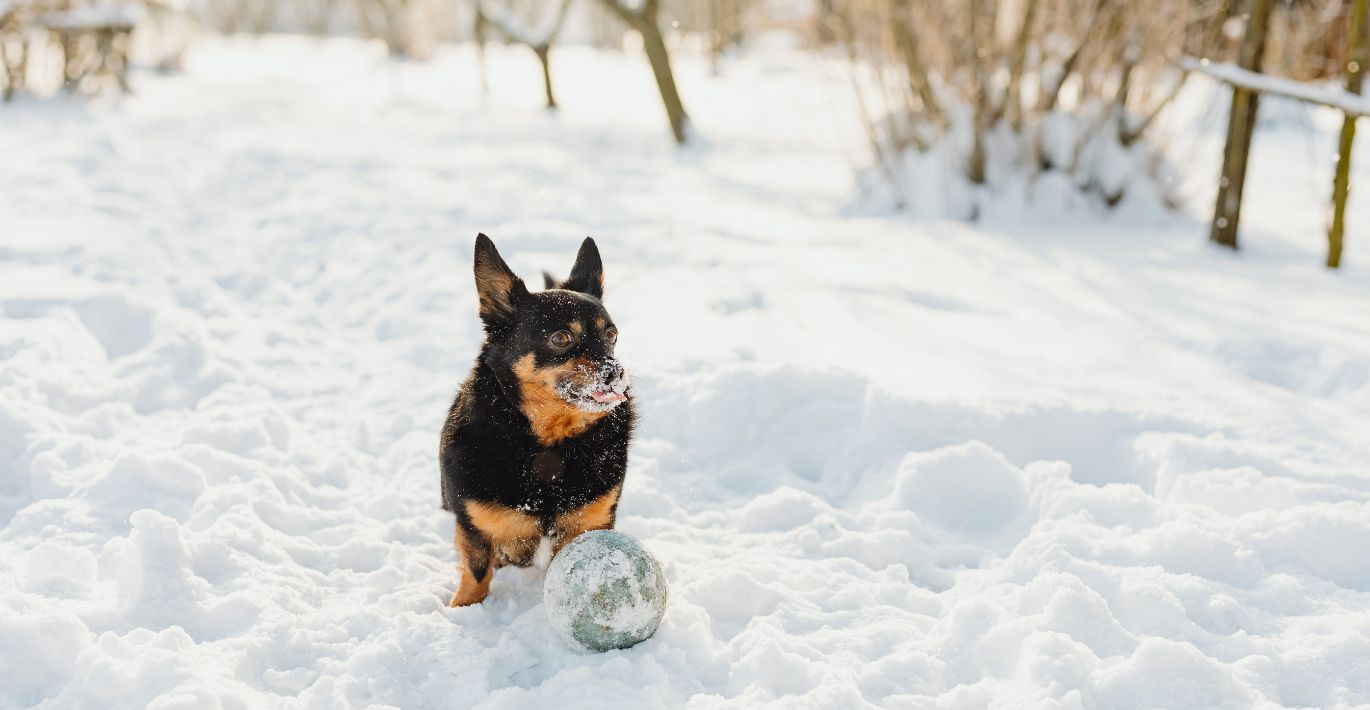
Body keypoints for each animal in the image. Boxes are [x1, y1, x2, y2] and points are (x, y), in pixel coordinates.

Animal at [438, 237, 630, 608]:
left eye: (612, 335)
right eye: (561, 338)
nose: (616, 373)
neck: (547, 443)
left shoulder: (592, 522)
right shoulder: (473, 524)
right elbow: (477, 571)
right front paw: (464, 609)